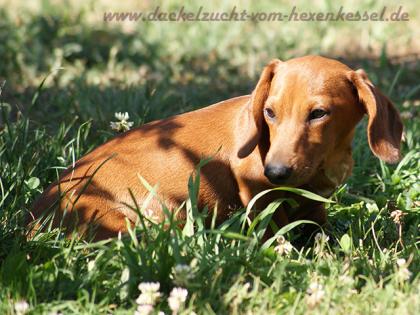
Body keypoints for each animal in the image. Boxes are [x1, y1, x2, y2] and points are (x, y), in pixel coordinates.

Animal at [29, 55, 404, 241]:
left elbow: (316, 224)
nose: (276, 171)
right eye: (270, 112)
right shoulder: (255, 191)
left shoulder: (315, 202)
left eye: (319, 114)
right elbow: (272, 224)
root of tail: (32, 223)